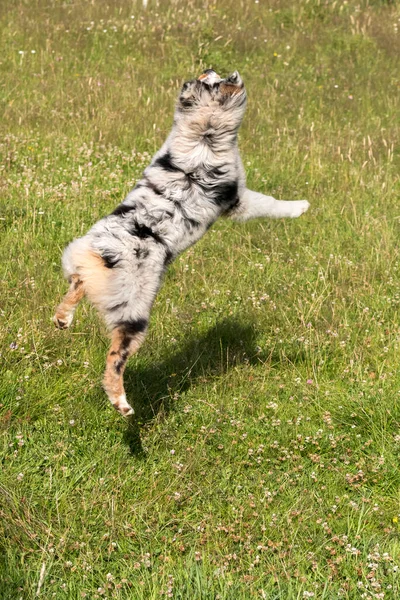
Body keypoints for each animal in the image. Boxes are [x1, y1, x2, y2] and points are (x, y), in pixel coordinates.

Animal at [53, 70, 310, 414]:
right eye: (211, 81)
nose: (214, 70)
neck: (203, 133)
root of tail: (102, 251)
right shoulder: (237, 198)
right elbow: (269, 203)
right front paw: (301, 206)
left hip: (87, 271)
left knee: (76, 287)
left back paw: (63, 319)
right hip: (134, 312)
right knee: (115, 359)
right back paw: (122, 403)